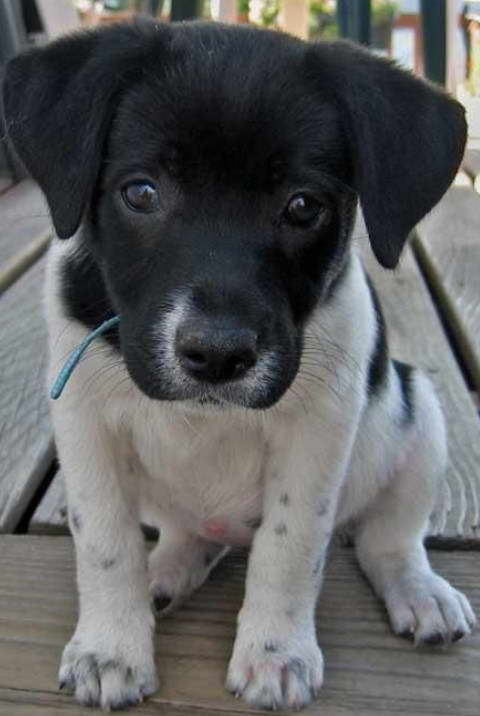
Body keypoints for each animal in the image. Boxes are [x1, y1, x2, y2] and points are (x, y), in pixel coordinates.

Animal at [2, 21, 476, 712]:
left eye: (303, 206)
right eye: (140, 192)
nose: (219, 354)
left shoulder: (317, 436)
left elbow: (290, 548)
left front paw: (276, 653)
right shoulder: (85, 426)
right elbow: (105, 544)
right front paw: (110, 648)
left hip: (418, 413)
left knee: (389, 537)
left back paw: (420, 591)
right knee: (192, 536)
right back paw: (165, 573)